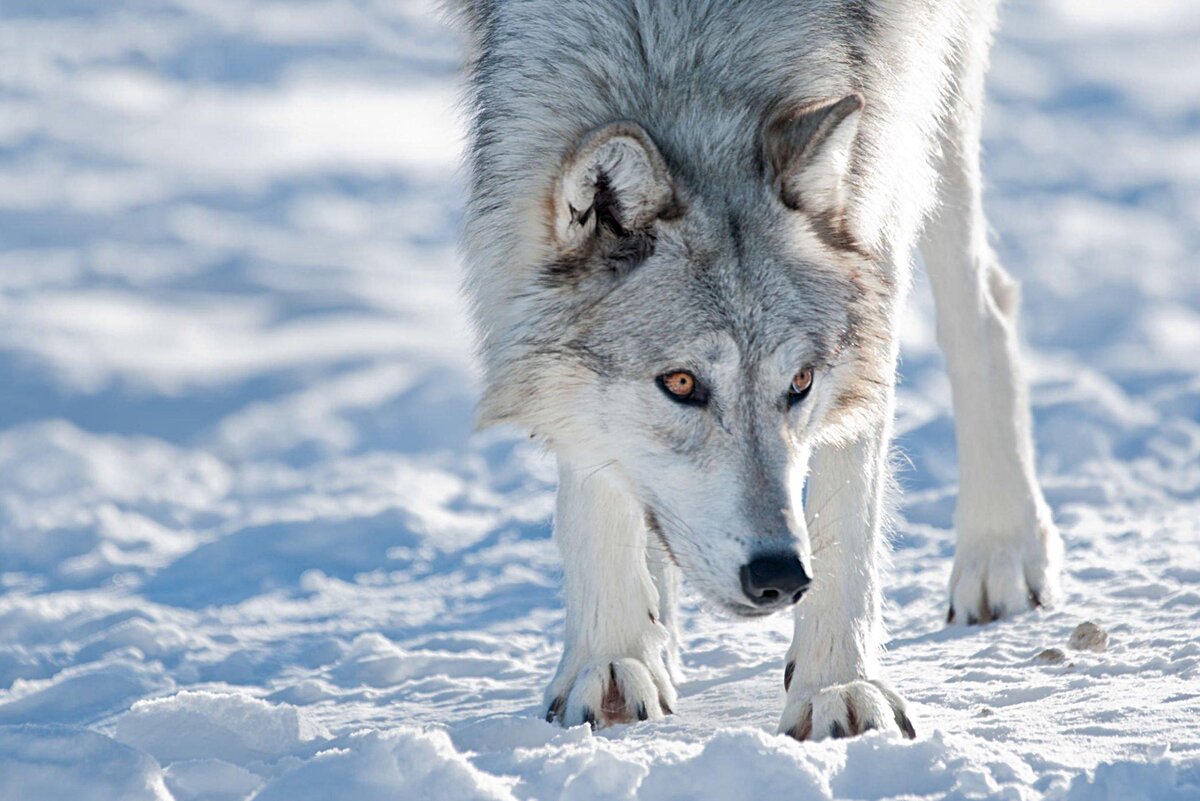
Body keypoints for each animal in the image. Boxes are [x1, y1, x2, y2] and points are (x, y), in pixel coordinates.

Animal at [448, 0, 1060, 743]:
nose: (779, 575)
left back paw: (1002, 552)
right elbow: (592, 468)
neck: (686, 52)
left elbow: (848, 494)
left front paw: (838, 688)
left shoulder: (884, 141)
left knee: (984, 303)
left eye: (800, 383)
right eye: (681, 384)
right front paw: (614, 658)